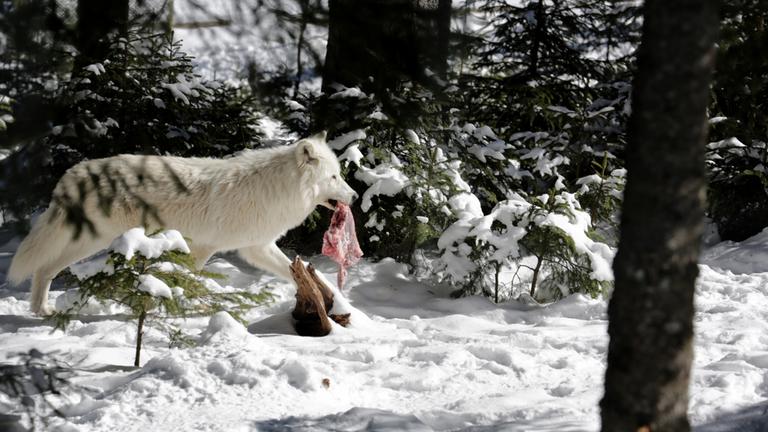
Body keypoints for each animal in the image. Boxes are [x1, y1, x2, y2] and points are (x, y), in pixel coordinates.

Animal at [6, 132, 356, 314]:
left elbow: (296, 274)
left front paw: (338, 304)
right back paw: (42, 310)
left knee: (44, 269)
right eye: (334, 177)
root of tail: (73, 173)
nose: (353, 196)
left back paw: (41, 311)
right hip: (89, 240)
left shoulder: (256, 248)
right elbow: (188, 279)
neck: (277, 188)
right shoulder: (203, 247)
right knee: (44, 267)